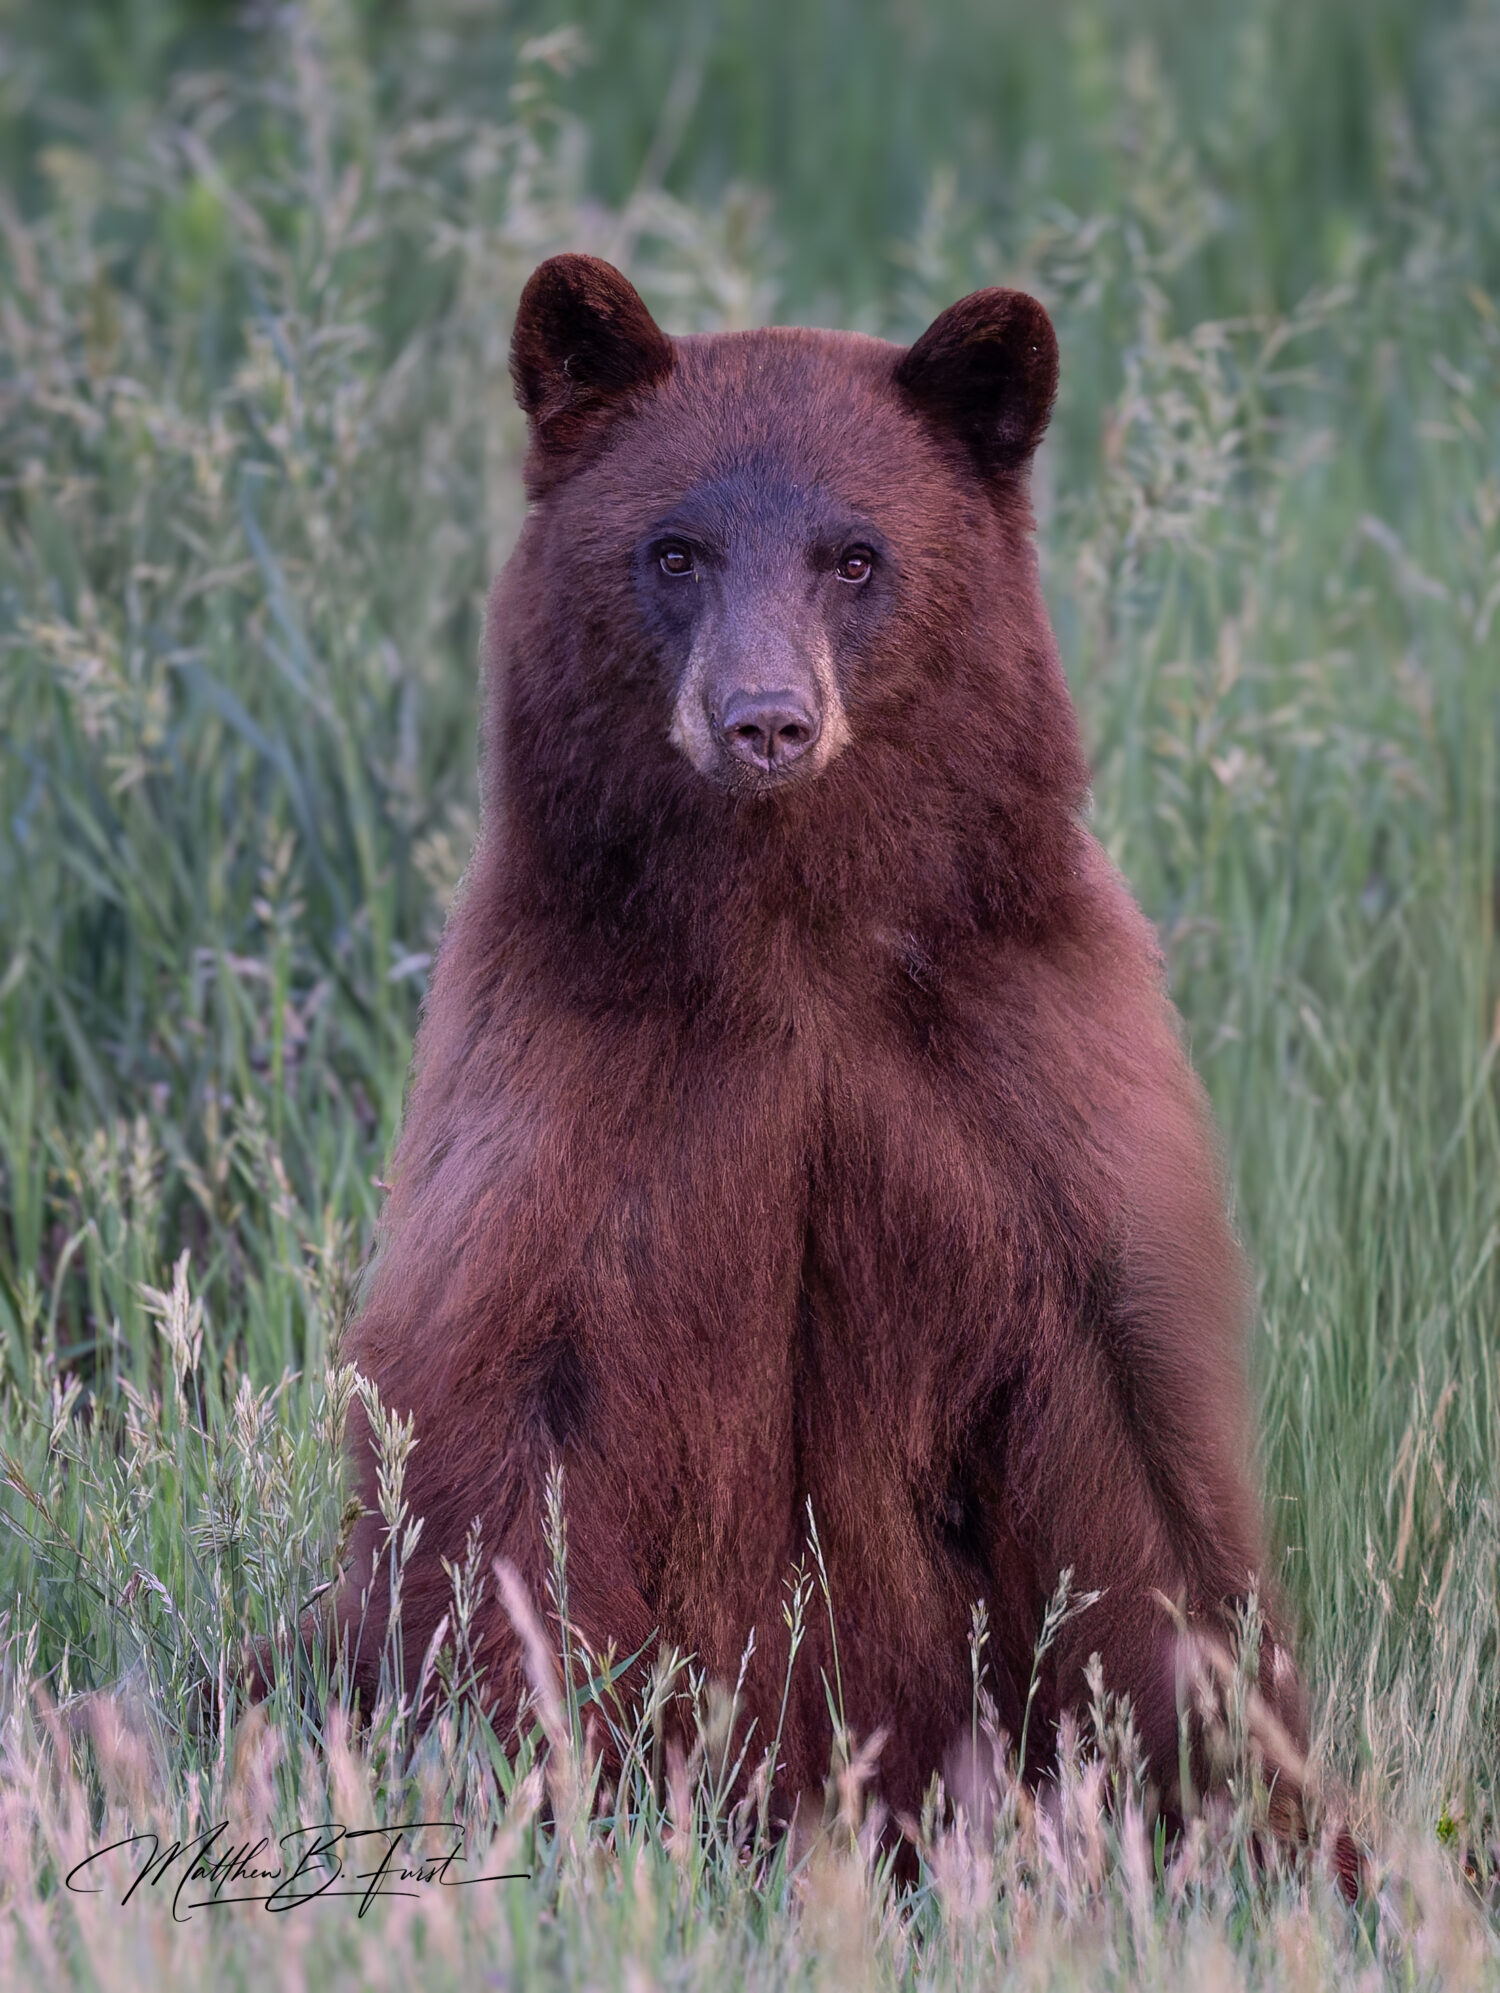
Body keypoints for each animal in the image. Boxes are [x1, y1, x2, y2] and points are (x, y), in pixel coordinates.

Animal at [324, 253, 1298, 1833]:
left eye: (855, 558)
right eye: (675, 552)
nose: (765, 721)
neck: (795, 936)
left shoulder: (1022, 1070)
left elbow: (1142, 1474)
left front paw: (1269, 1810)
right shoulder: (576, 1088)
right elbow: (500, 1454)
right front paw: (540, 1777)